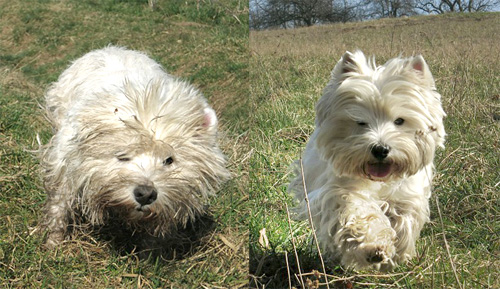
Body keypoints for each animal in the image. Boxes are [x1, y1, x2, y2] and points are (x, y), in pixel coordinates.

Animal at [40, 46, 229, 248]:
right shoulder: (65, 166)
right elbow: (59, 203)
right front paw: (54, 242)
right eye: (122, 155)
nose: (145, 194)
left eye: (169, 160)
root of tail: (110, 48)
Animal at [290, 50, 446, 268]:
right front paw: (375, 247)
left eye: (399, 121)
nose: (380, 149)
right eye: (360, 122)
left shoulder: (407, 196)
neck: (380, 180)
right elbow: (358, 212)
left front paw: (398, 252)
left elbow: (404, 220)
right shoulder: (339, 191)